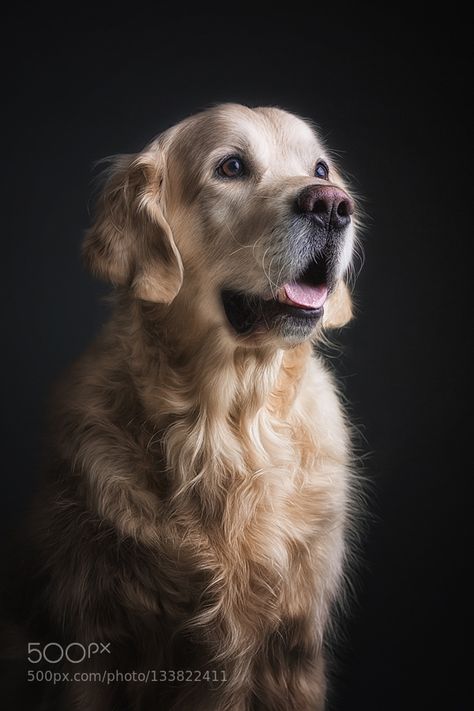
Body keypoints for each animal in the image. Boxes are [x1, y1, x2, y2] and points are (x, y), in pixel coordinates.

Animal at [13, 103, 360, 708]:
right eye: (232, 166)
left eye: (320, 169)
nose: (333, 205)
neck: (226, 427)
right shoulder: (92, 637)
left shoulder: (295, 650)